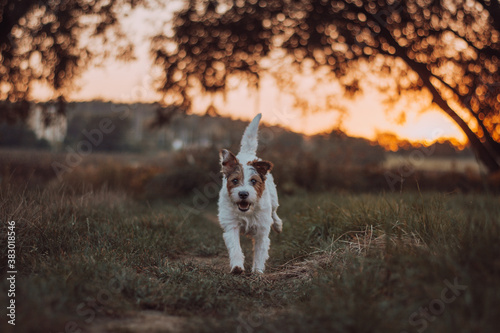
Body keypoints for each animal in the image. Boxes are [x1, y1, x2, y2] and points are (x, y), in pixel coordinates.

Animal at [218, 113, 284, 274]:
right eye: (235, 181)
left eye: (253, 181)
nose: (243, 194)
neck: (247, 211)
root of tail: (247, 154)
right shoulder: (231, 226)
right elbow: (235, 247)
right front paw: (237, 267)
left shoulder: (261, 230)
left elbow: (260, 251)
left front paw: (258, 272)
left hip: (273, 199)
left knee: (274, 212)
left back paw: (278, 225)